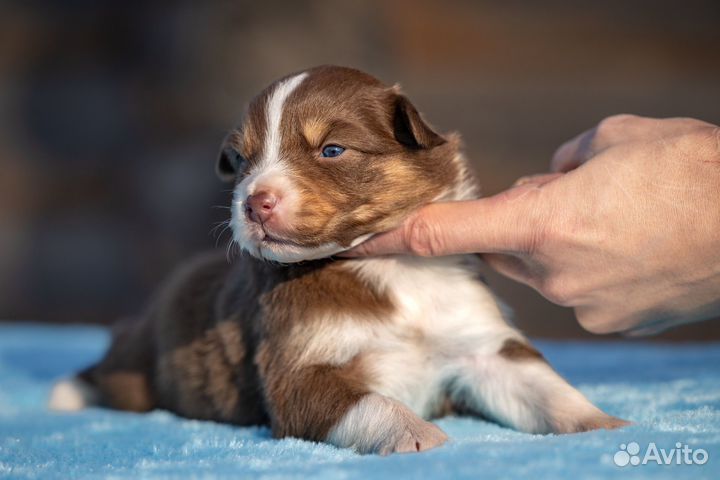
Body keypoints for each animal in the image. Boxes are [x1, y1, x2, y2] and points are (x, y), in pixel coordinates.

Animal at [47, 66, 628, 454]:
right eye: (241, 160)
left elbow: (542, 386)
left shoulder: (480, 345)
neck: (390, 270)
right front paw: (421, 437)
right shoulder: (299, 370)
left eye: (331, 150)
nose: (254, 201)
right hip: (142, 363)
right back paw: (66, 393)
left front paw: (605, 425)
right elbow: (373, 404)